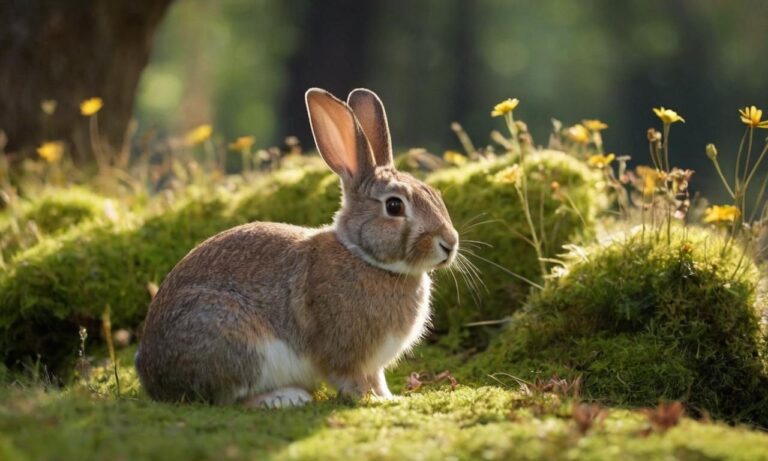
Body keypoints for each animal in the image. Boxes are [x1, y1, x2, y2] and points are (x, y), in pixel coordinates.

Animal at [136, 88, 460, 408]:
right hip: (233, 339)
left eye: (435, 194)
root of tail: (152, 375)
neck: (365, 258)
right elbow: (353, 380)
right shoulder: (347, 354)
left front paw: (390, 397)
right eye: (394, 206)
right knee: (227, 398)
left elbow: (377, 380)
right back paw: (285, 398)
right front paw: (375, 401)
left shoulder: (373, 364)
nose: (450, 244)